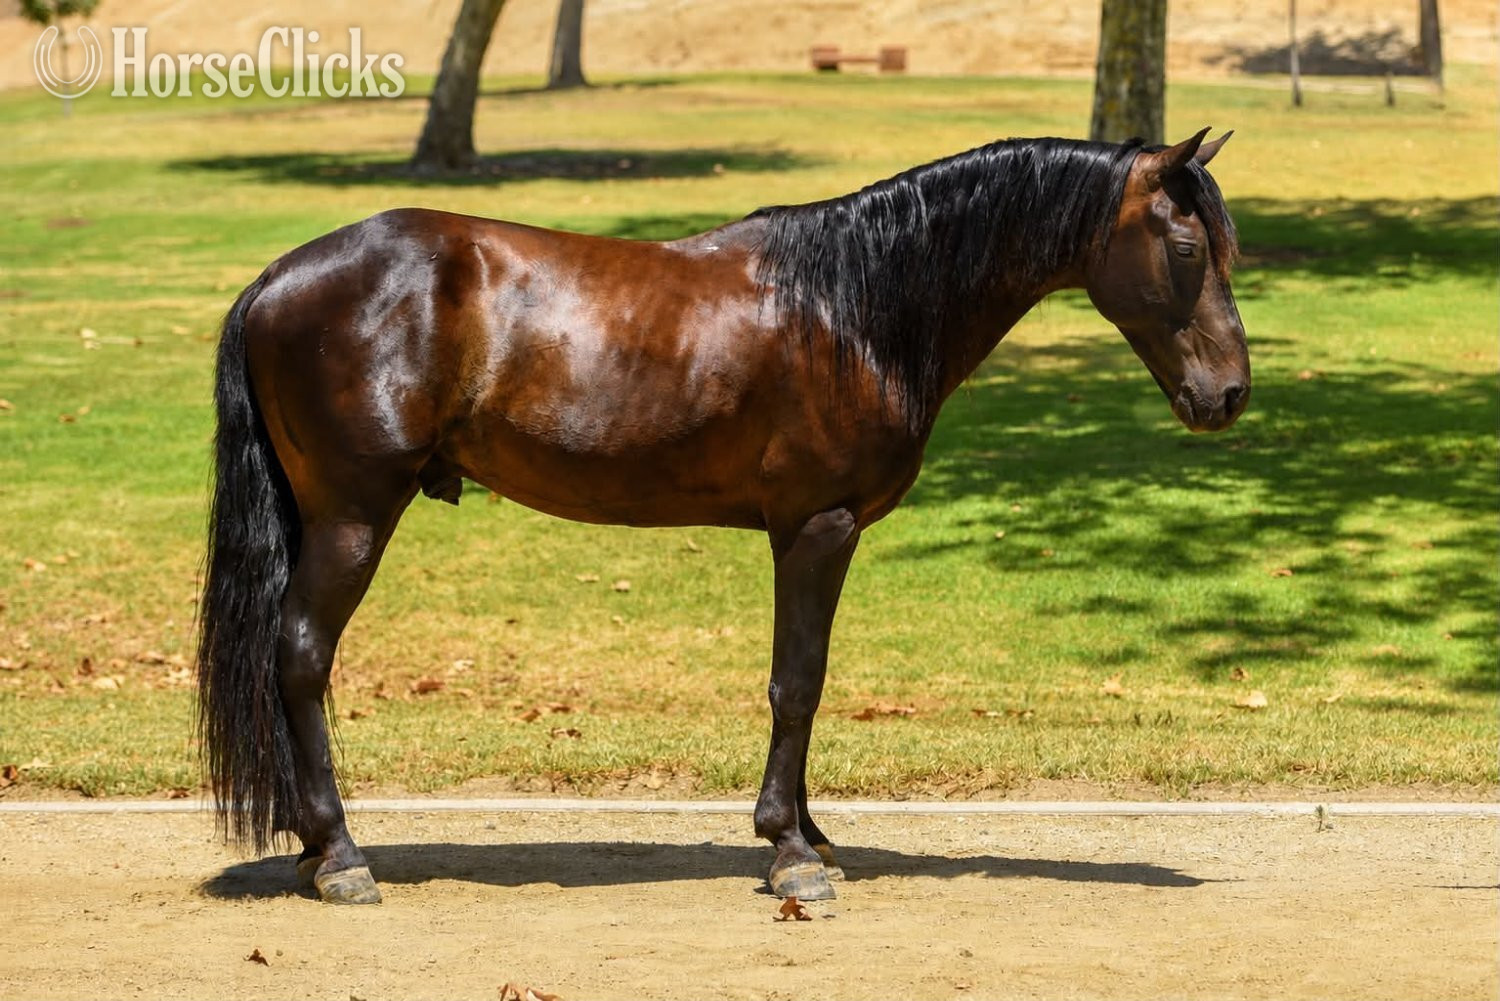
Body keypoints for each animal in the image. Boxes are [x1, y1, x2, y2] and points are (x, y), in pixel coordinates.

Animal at [198, 127, 1249, 906]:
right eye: (1188, 247)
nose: (1231, 395)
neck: (852, 306)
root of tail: (277, 279)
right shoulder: (817, 527)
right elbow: (799, 683)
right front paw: (789, 851)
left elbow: (807, 683)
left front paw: (815, 835)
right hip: (352, 517)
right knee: (300, 656)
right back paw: (340, 856)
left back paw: (312, 849)